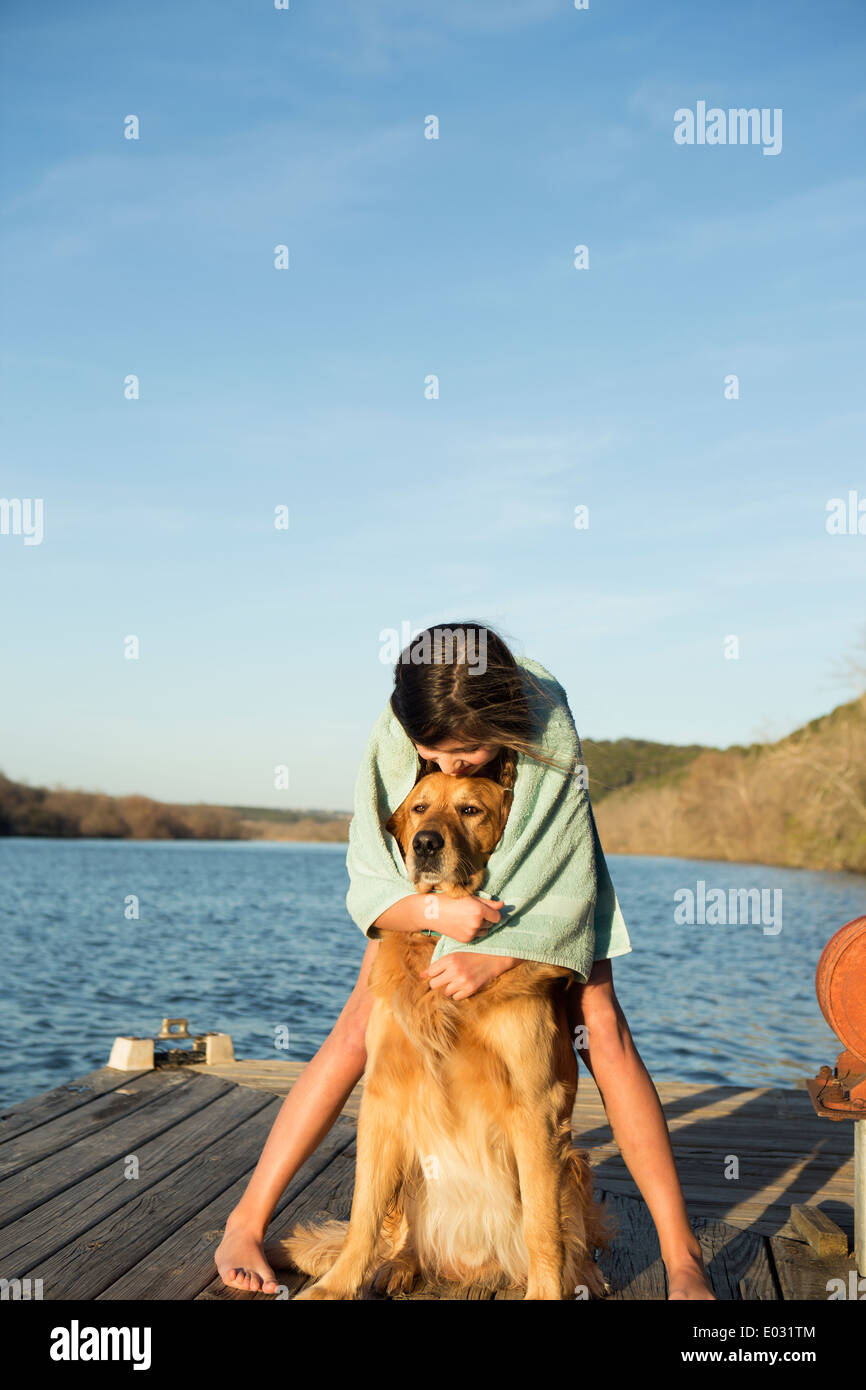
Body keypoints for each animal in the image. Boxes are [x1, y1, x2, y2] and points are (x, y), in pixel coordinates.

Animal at [273, 772, 614, 1301]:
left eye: (471, 810)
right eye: (419, 808)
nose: (426, 843)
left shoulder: (536, 1104)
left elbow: (543, 1227)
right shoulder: (384, 1095)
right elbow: (363, 1214)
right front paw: (337, 1286)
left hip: (572, 1162)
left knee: (571, 1234)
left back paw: (585, 1275)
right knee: (401, 1234)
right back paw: (401, 1264)